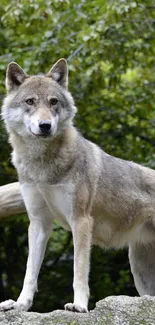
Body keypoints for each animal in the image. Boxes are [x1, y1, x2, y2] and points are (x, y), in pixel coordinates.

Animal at [0, 57, 155, 312]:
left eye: (53, 102)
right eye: (30, 101)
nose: (45, 125)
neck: (43, 166)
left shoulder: (81, 220)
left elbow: (79, 271)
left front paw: (79, 306)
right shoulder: (39, 222)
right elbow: (30, 272)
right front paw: (21, 304)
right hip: (140, 273)